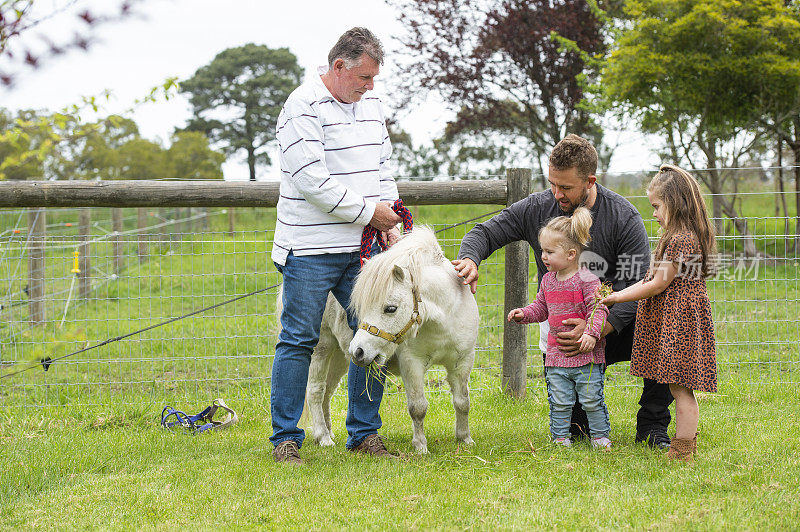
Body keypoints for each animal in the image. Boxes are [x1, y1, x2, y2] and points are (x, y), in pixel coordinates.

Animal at [296, 225, 478, 454]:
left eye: (390, 308)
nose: (359, 350)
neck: (444, 318)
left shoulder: (463, 361)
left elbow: (462, 402)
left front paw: (465, 439)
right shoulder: (412, 363)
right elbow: (418, 407)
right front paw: (421, 446)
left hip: (340, 357)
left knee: (328, 391)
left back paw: (329, 432)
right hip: (322, 348)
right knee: (315, 391)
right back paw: (323, 437)